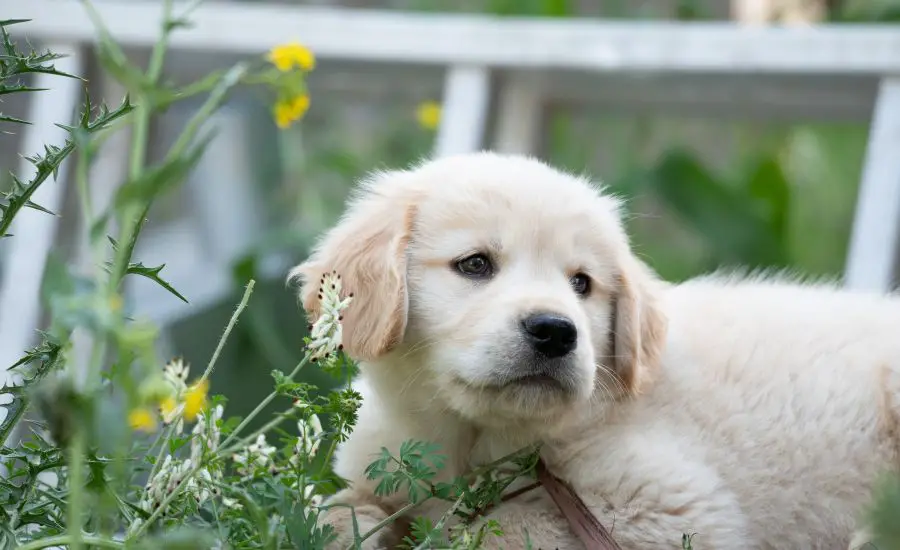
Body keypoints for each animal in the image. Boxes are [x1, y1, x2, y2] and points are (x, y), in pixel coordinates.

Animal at [294, 152, 900, 550]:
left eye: (582, 283)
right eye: (475, 264)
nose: (556, 331)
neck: (471, 442)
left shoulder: (671, 508)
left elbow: (505, 529)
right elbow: (336, 507)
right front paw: (341, 525)